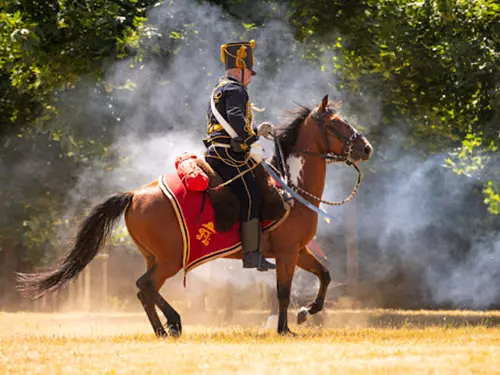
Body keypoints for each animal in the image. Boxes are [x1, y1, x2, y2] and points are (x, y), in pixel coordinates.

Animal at [16, 94, 372, 338]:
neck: (291, 186)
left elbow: (325, 275)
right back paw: (173, 323)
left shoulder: (299, 250)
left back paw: (163, 329)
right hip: (171, 259)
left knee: (144, 290)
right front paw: (285, 328)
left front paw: (307, 312)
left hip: (156, 257)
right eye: (335, 123)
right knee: (145, 285)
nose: (366, 148)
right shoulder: (286, 252)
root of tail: (134, 195)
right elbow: (283, 293)